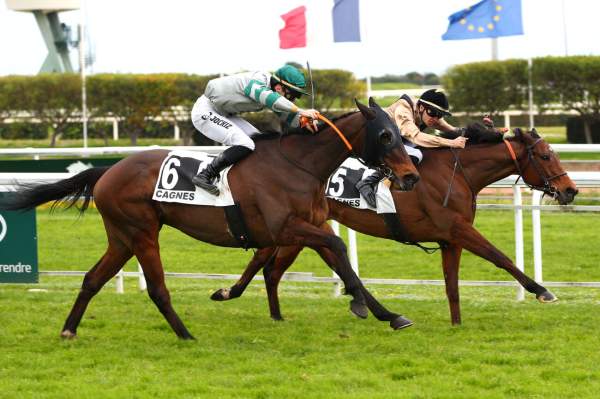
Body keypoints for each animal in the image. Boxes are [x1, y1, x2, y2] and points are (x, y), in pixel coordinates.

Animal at [1, 98, 422, 340]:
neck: (300, 164)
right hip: (142, 232)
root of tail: (107, 171)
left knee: (92, 279)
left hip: (121, 237)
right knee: (156, 288)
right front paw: (364, 306)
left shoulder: (310, 226)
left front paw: (388, 314)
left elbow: (343, 262)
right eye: (385, 136)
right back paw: (185, 335)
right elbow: (336, 247)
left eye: (401, 132)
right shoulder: (287, 228)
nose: (411, 176)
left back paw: (69, 330)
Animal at [213, 128, 580, 324]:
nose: (570, 190)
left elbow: (451, 284)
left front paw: (456, 324)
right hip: (297, 228)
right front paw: (542, 291)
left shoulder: (449, 238)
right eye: (545, 156)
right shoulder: (457, 228)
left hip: (302, 228)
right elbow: (500, 257)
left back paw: (253, 304)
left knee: (268, 265)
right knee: (268, 264)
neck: (458, 173)